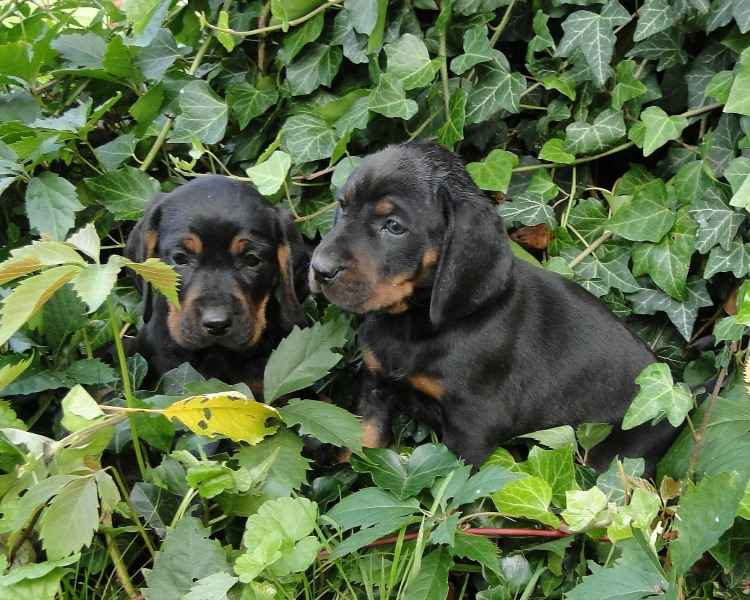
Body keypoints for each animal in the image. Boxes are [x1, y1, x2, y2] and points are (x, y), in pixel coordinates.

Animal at [308, 142, 680, 474]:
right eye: (342, 206)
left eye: (394, 226)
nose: (319, 269)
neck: (413, 326)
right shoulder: (375, 389)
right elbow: (362, 443)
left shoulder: (472, 425)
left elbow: (454, 488)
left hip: (618, 452)